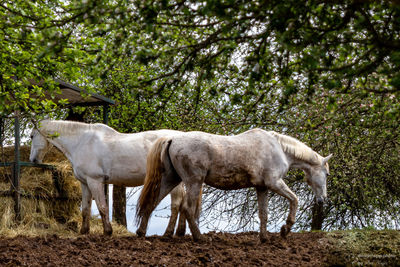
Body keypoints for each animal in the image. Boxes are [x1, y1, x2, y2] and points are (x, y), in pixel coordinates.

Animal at [30, 120, 188, 238]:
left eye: (31, 136)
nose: (33, 160)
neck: (81, 142)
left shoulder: (95, 181)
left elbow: (102, 207)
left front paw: (107, 231)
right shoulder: (85, 183)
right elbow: (85, 208)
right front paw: (84, 231)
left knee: (176, 204)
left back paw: (167, 233)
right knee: (184, 203)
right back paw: (179, 232)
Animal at [137, 129, 332, 243]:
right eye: (327, 174)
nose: (323, 199)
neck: (279, 149)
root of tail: (172, 138)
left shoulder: (262, 188)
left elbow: (263, 214)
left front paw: (264, 238)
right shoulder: (274, 183)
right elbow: (294, 200)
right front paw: (286, 229)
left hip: (171, 180)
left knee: (151, 202)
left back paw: (141, 232)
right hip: (194, 181)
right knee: (187, 208)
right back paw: (199, 238)